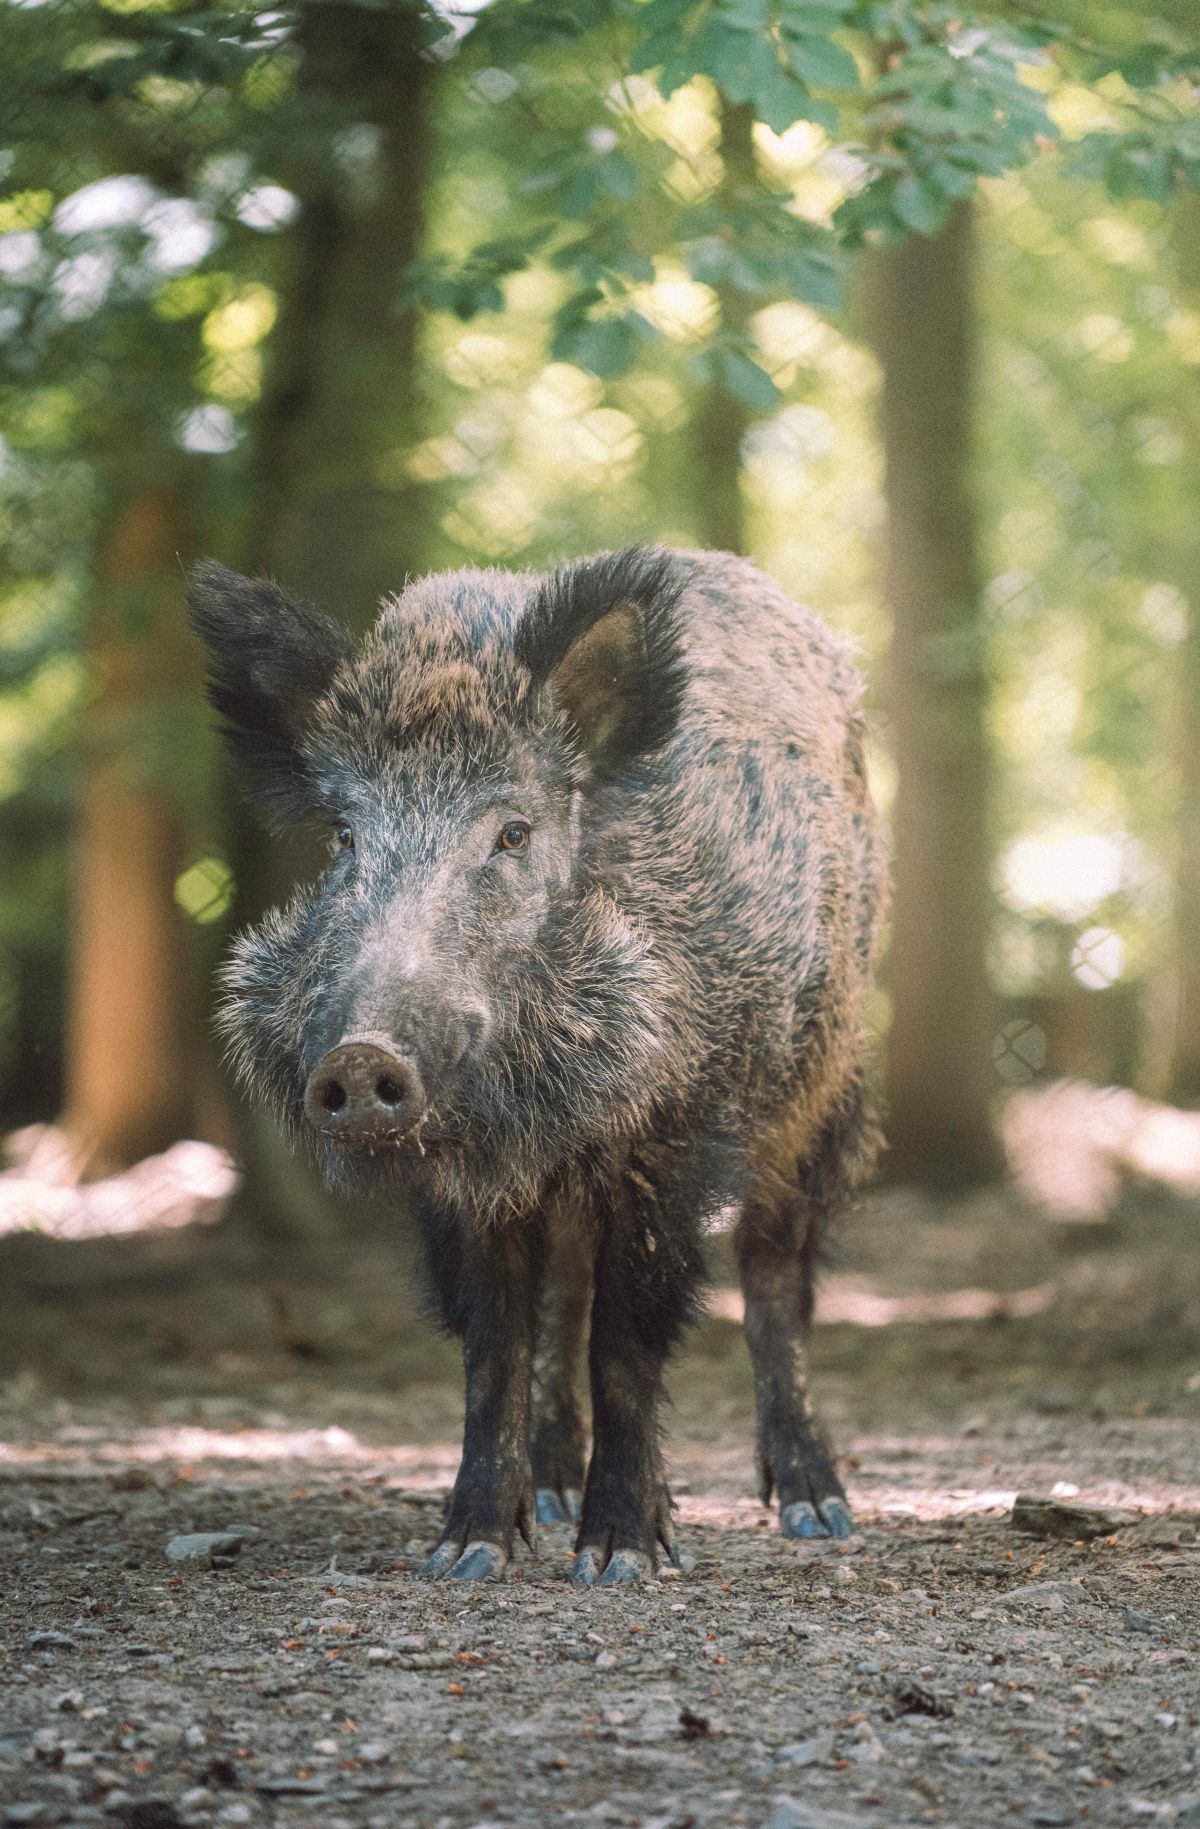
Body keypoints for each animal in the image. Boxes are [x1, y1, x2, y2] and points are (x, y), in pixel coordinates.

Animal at [189, 546, 885, 1584]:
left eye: (512, 833)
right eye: (346, 837)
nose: (361, 1058)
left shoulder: (674, 1140)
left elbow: (627, 1340)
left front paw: (618, 1560)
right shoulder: (464, 1183)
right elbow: (497, 1344)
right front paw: (465, 1553)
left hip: (820, 1089)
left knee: (773, 1276)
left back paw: (815, 1509)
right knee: (564, 1290)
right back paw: (552, 1494)